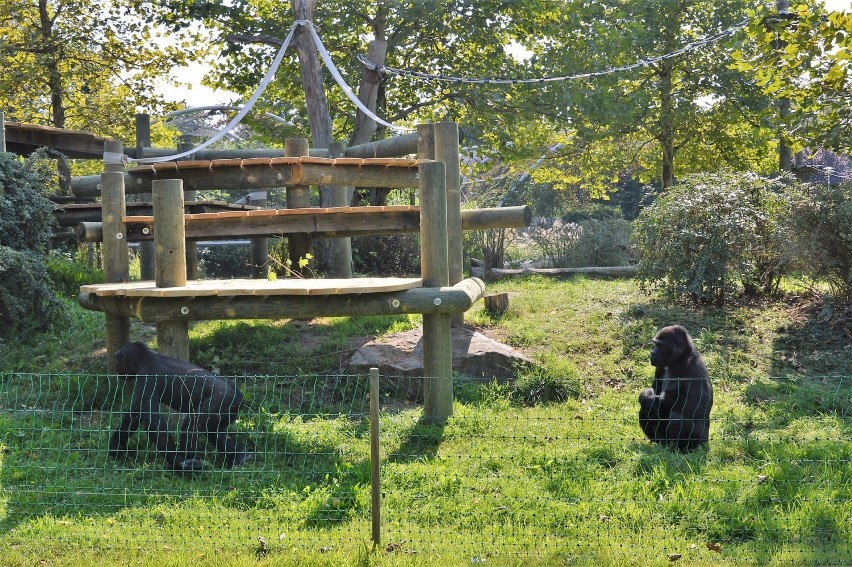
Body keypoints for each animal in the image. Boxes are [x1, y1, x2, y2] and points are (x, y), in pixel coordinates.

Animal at [108, 342, 251, 474]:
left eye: (118, 359)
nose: (116, 366)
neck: (145, 358)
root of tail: (240, 396)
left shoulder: (146, 379)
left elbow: (154, 424)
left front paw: (178, 463)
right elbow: (134, 415)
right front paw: (116, 446)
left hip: (221, 400)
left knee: (192, 424)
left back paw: (188, 466)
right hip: (227, 410)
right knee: (213, 431)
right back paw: (241, 457)